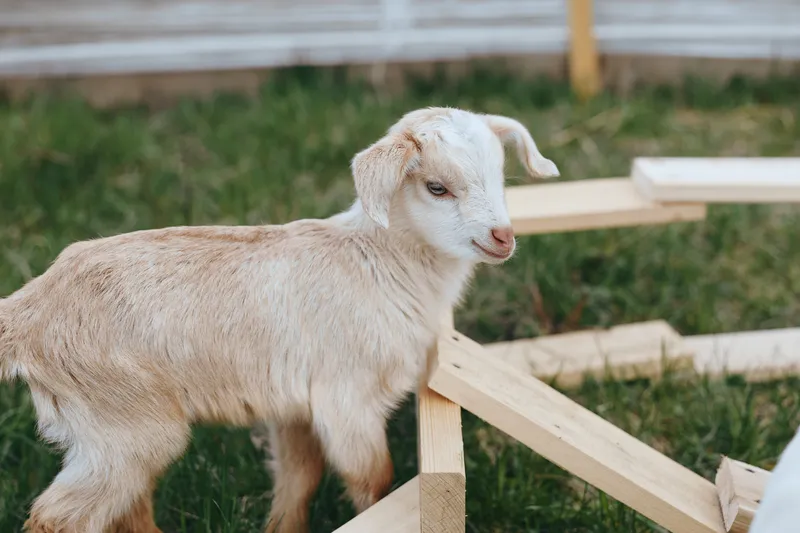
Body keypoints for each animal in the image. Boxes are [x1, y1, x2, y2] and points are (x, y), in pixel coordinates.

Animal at [0, 106, 559, 533]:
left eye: (500, 176)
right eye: (437, 187)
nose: (503, 238)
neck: (378, 263)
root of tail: (30, 310)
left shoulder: (294, 406)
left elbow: (298, 479)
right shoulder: (348, 399)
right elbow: (375, 483)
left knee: (126, 507)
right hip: (122, 421)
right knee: (57, 517)